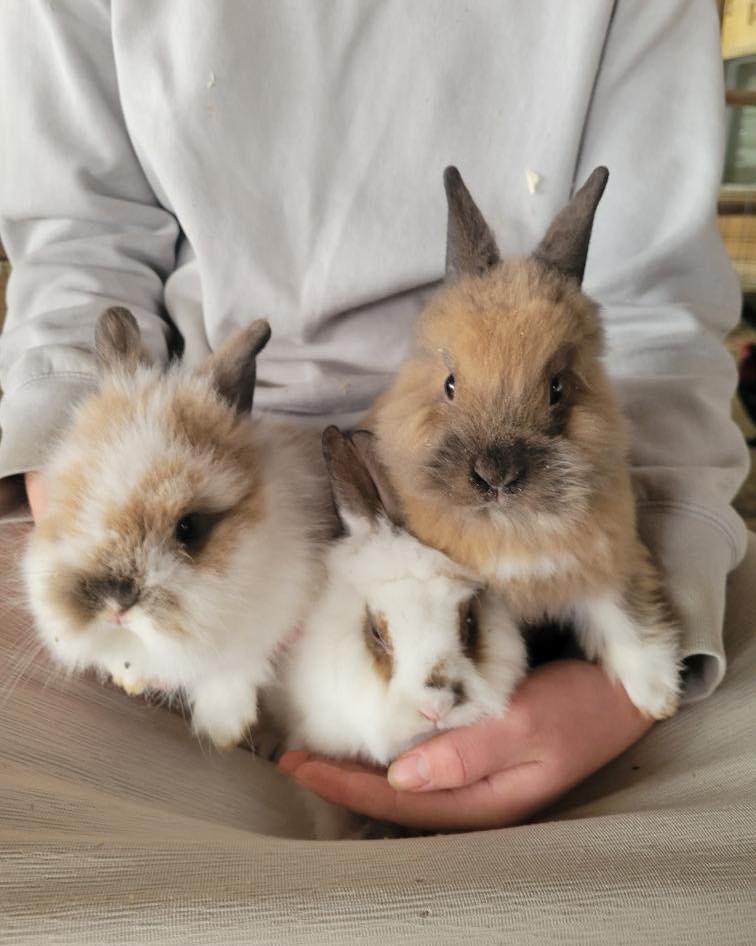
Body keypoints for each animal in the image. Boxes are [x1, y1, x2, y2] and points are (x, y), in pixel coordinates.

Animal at [23, 307, 335, 749]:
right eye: (76, 507)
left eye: (188, 528)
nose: (116, 604)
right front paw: (130, 678)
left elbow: (234, 668)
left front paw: (224, 730)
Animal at [366, 166, 681, 721]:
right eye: (450, 383)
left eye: (557, 387)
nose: (496, 475)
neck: (514, 527)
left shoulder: (607, 562)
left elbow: (621, 614)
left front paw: (657, 690)